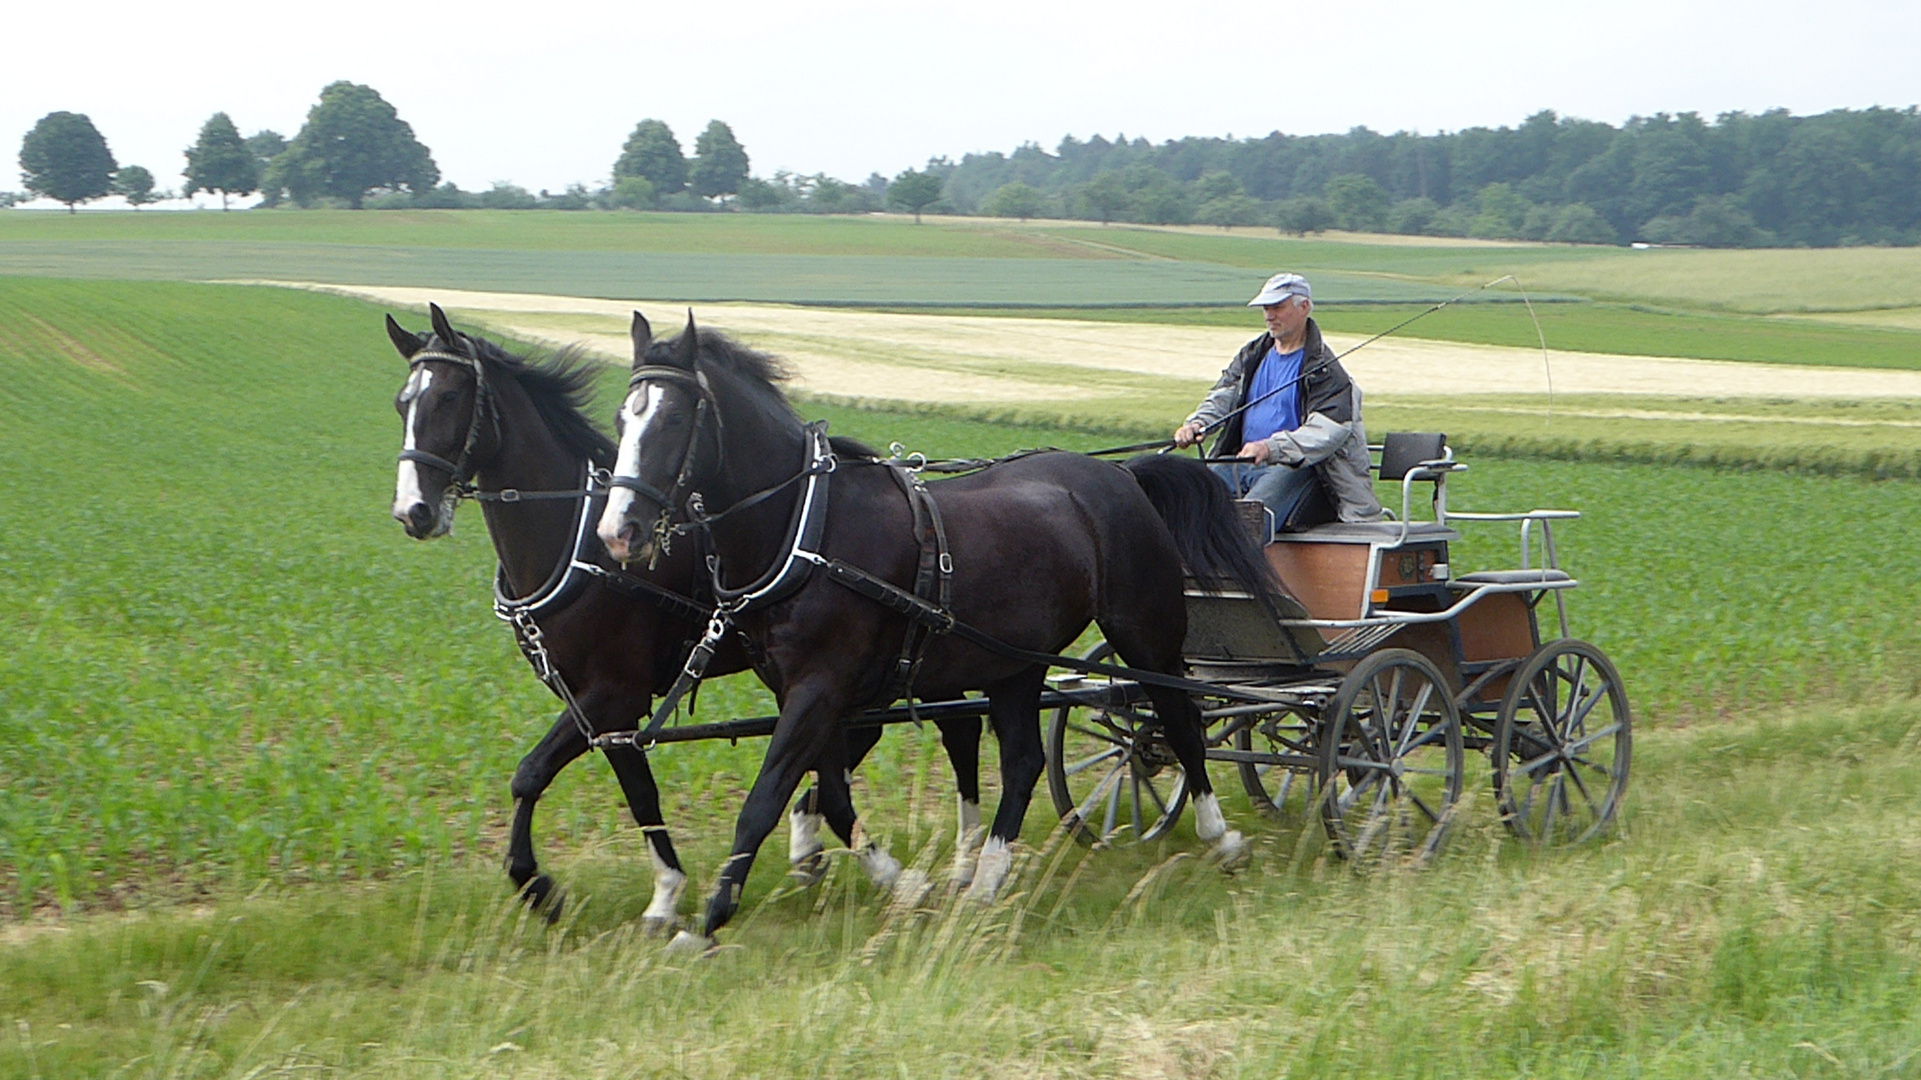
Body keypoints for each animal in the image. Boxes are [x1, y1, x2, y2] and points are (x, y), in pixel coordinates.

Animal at [388, 305, 960, 926]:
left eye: (449, 397)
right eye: (402, 402)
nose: (412, 511)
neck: (578, 541)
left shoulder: (615, 691)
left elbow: (530, 774)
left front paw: (539, 885)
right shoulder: (600, 706)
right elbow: (637, 791)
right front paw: (665, 891)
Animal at [595, 311, 1290, 941]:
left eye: (674, 420)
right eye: (622, 419)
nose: (617, 532)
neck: (809, 527)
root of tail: (1122, 473)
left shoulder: (819, 689)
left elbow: (766, 799)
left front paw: (709, 917)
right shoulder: (810, 693)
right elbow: (832, 794)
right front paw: (900, 881)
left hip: (1144, 630)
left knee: (1180, 718)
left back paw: (1220, 836)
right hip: (1017, 660)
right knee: (1024, 760)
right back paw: (986, 879)